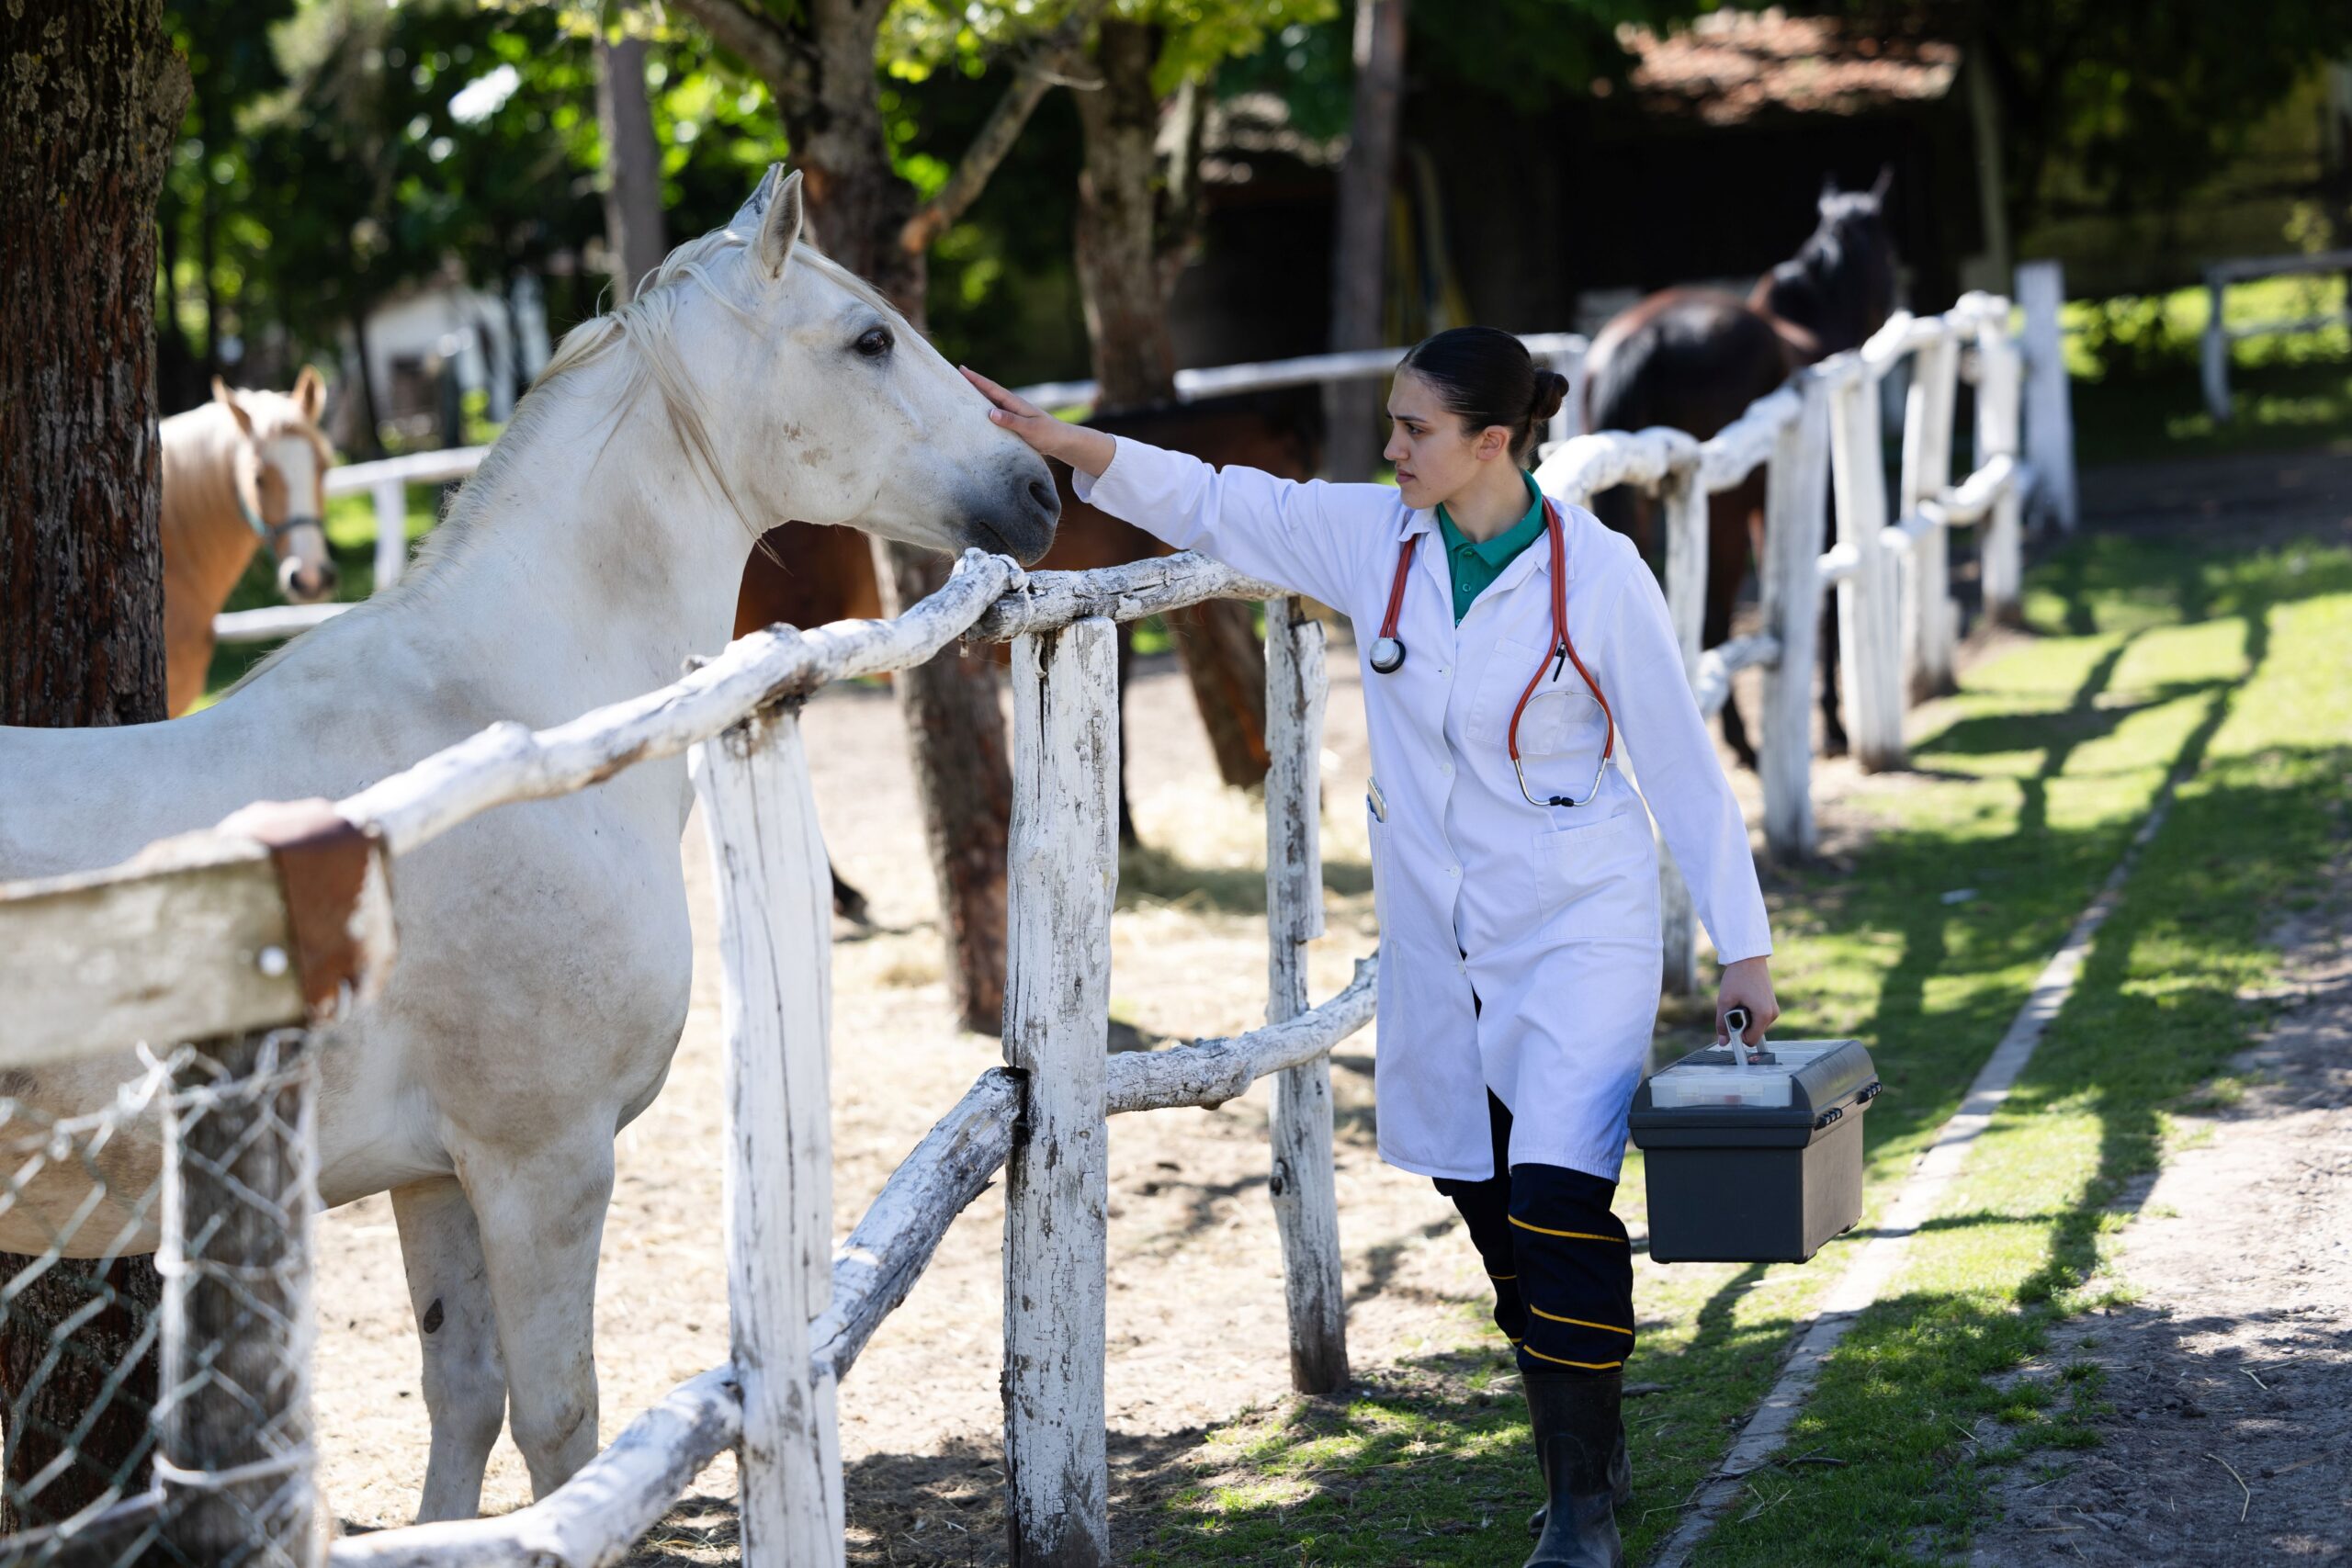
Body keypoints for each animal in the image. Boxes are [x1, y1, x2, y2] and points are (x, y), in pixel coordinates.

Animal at [1582, 171, 1898, 764]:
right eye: (1888, 252)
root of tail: (1646, 336)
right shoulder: (1811, 510)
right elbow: (1819, 606)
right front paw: (1833, 725)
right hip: (1721, 513)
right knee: (1713, 618)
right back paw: (1742, 744)